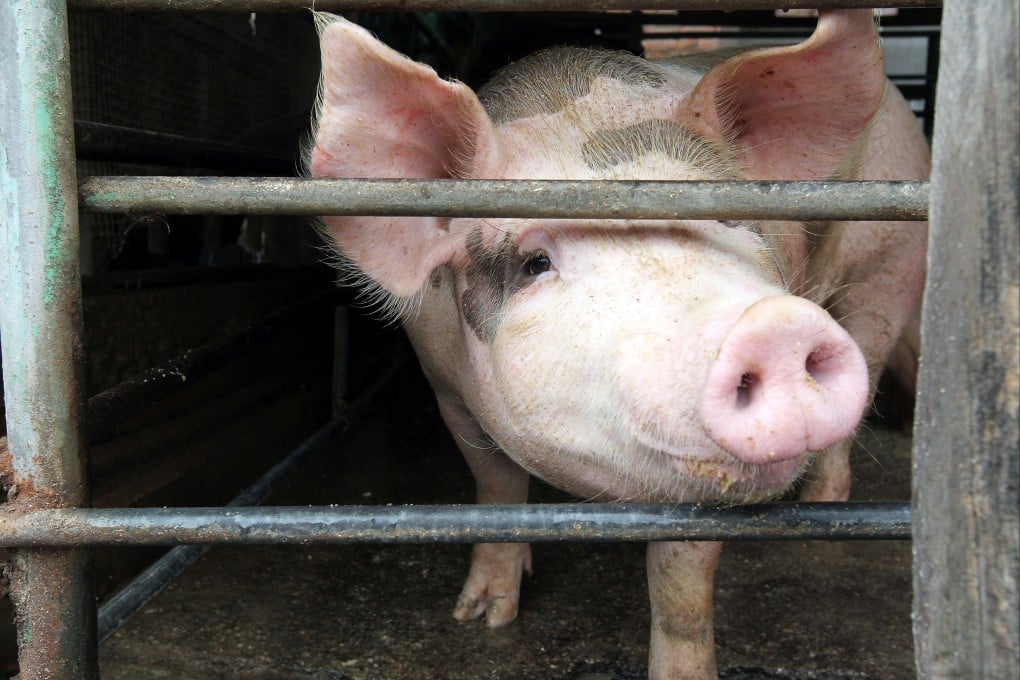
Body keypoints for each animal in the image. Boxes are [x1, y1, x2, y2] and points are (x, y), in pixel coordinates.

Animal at [308, 9, 928, 678]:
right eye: (534, 264)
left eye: (729, 216)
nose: (774, 324)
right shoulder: (445, 387)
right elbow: (495, 485)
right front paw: (484, 617)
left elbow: (681, 579)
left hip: (892, 266)